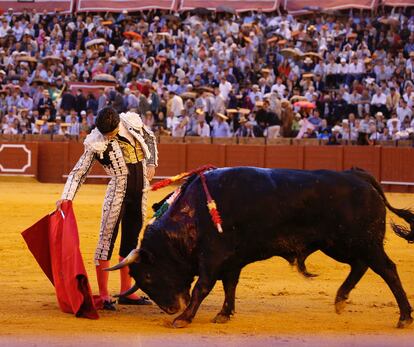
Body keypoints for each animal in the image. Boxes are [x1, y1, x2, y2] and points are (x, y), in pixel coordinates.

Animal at [106, 168, 414, 328]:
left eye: (147, 276)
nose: (171, 308)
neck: (191, 214)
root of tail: (359, 176)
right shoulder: (231, 260)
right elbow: (230, 286)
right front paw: (224, 314)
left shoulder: (214, 257)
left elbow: (202, 287)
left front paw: (184, 318)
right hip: (340, 245)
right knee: (360, 266)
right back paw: (341, 299)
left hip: (363, 242)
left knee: (387, 269)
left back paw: (404, 317)